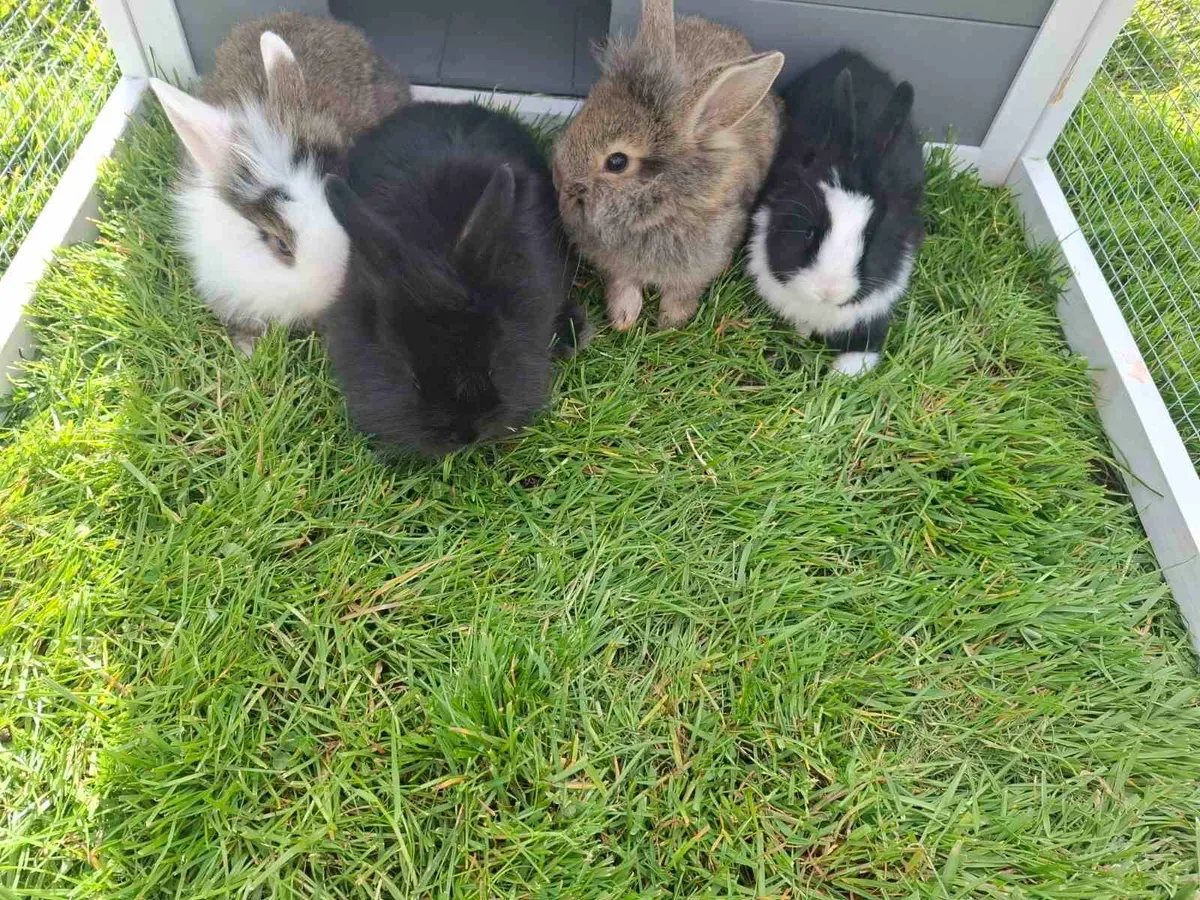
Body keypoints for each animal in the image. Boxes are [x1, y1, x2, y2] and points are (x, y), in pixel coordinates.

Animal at [552, 0, 784, 331]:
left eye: (617, 161)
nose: (560, 178)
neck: (660, 208)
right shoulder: (618, 268)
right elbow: (623, 286)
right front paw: (624, 321)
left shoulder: (698, 266)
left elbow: (681, 295)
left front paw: (668, 324)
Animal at [747, 49, 925, 377]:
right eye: (808, 232)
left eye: (872, 240)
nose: (828, 291)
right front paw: (803, 336)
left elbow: (862, 353)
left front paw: (839, 376)